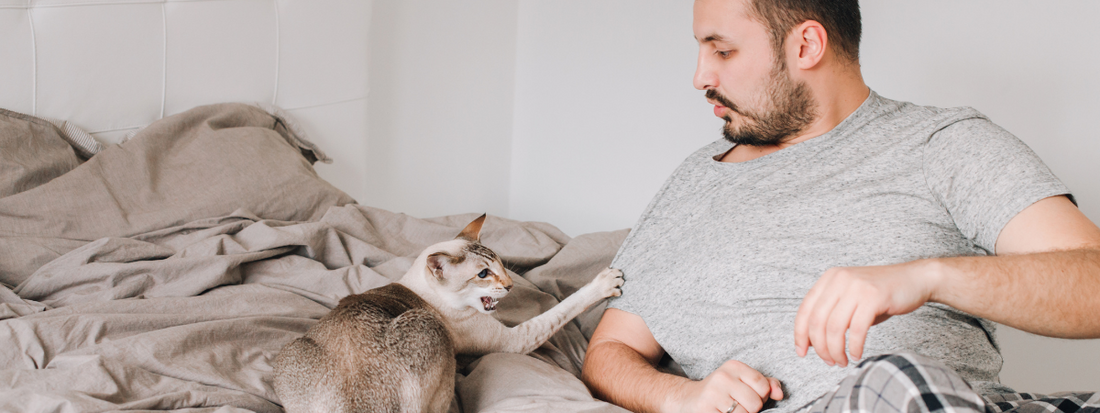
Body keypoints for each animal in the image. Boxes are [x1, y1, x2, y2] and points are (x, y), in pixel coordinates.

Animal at [271, 214, 624, 413]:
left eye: (500, 265)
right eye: (482, 274)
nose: (510, 286)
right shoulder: (514, 340)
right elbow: (561, 307)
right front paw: (606, 282)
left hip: (290, 352)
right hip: (430, 332)